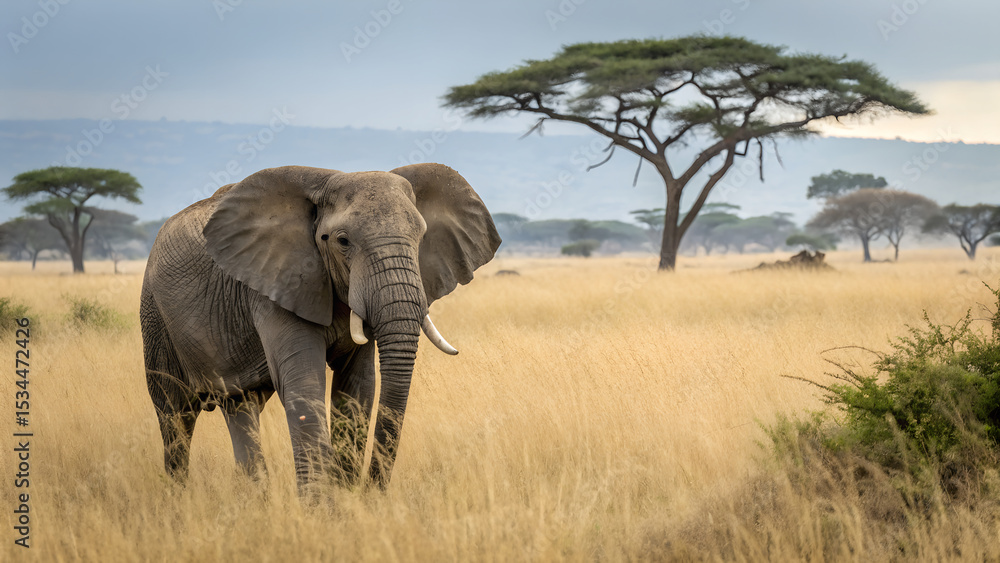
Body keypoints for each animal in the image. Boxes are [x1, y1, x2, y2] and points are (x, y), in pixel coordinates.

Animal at [140, 163, 500, 488]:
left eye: (422, 237)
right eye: (342, 241)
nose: (371, 491)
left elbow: (358, 388)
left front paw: (345, 501)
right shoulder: (276, 284)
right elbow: (304, 384)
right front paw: (322, 509)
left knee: (241, 407)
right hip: (155, 318)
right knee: (175, 418)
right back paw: (179, 500)